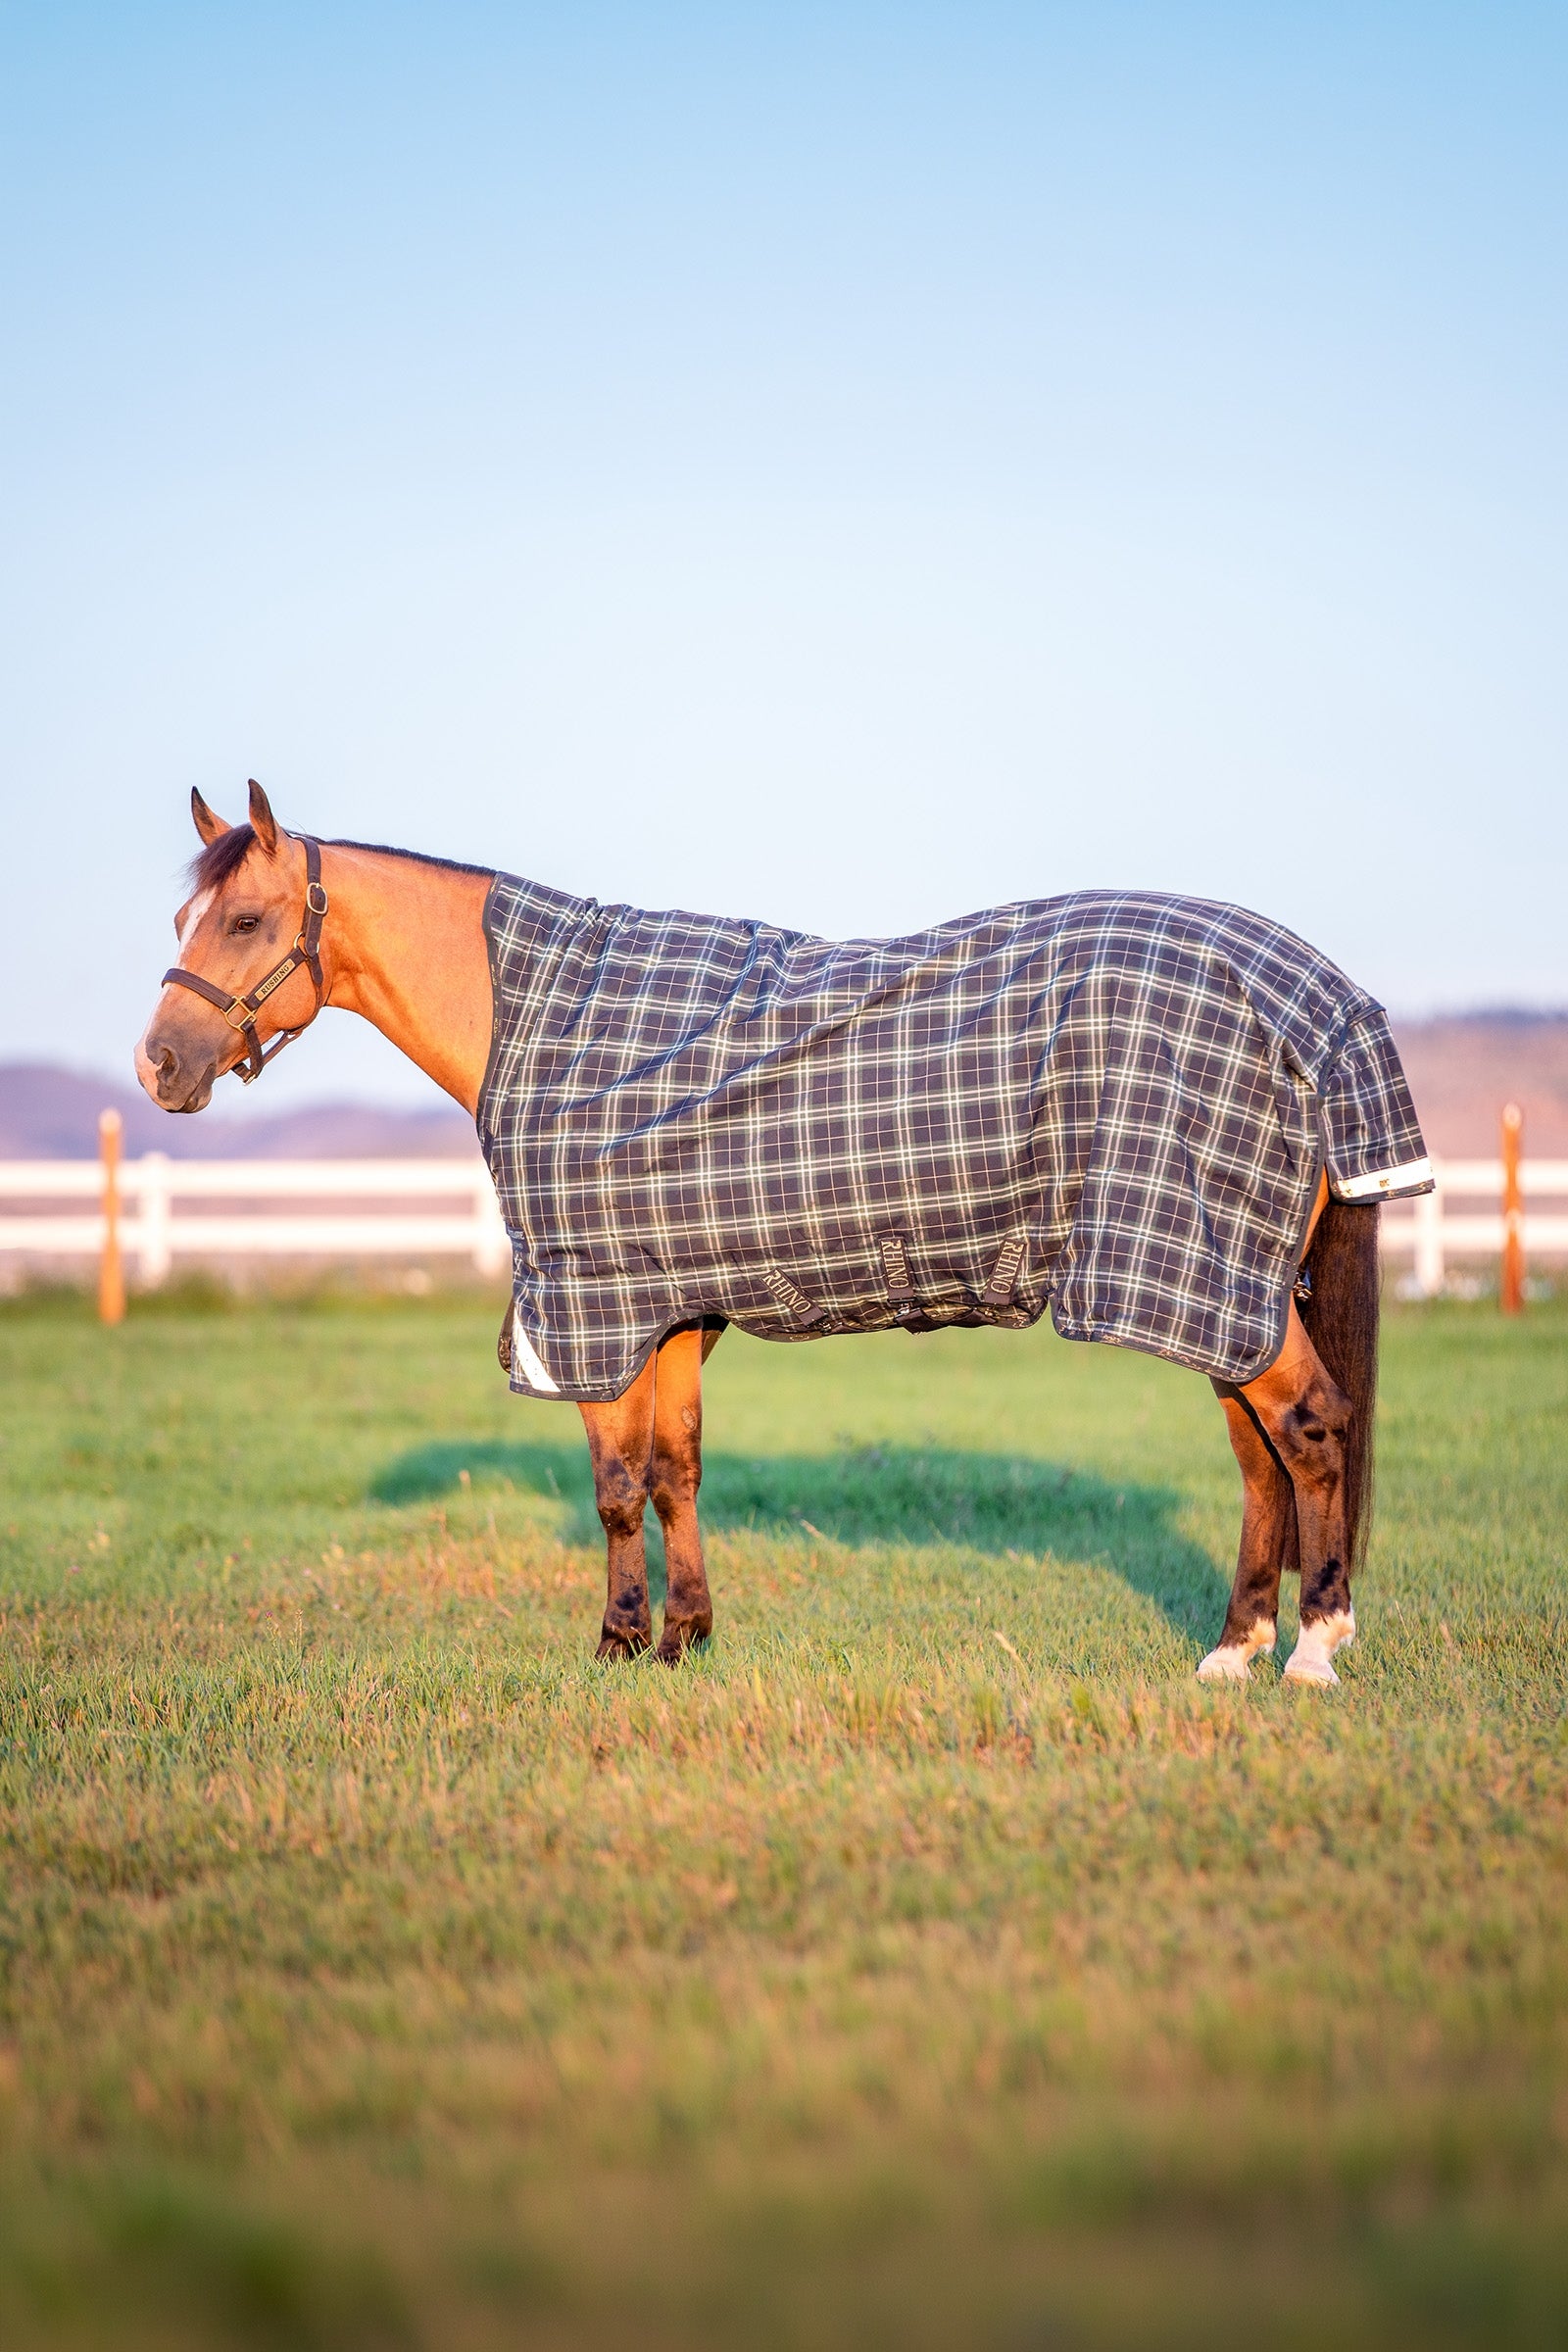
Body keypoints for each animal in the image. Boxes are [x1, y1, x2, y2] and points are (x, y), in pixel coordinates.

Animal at [136, 779, 1417, 1688]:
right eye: (182, 915)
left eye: (244, 918)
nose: (159, 1066)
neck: (549, 1027)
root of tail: (1317, 1003)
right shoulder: (670, 1310)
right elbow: (677, 1472)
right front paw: (685, 1638)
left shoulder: (596, 1306)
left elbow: (617, 1485)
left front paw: (617, 1644)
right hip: (1221, 1283)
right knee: (1258, 1451)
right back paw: (1233, 1649)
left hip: (1203, 1272)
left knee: (1310, 1428)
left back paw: (1312, 1651)